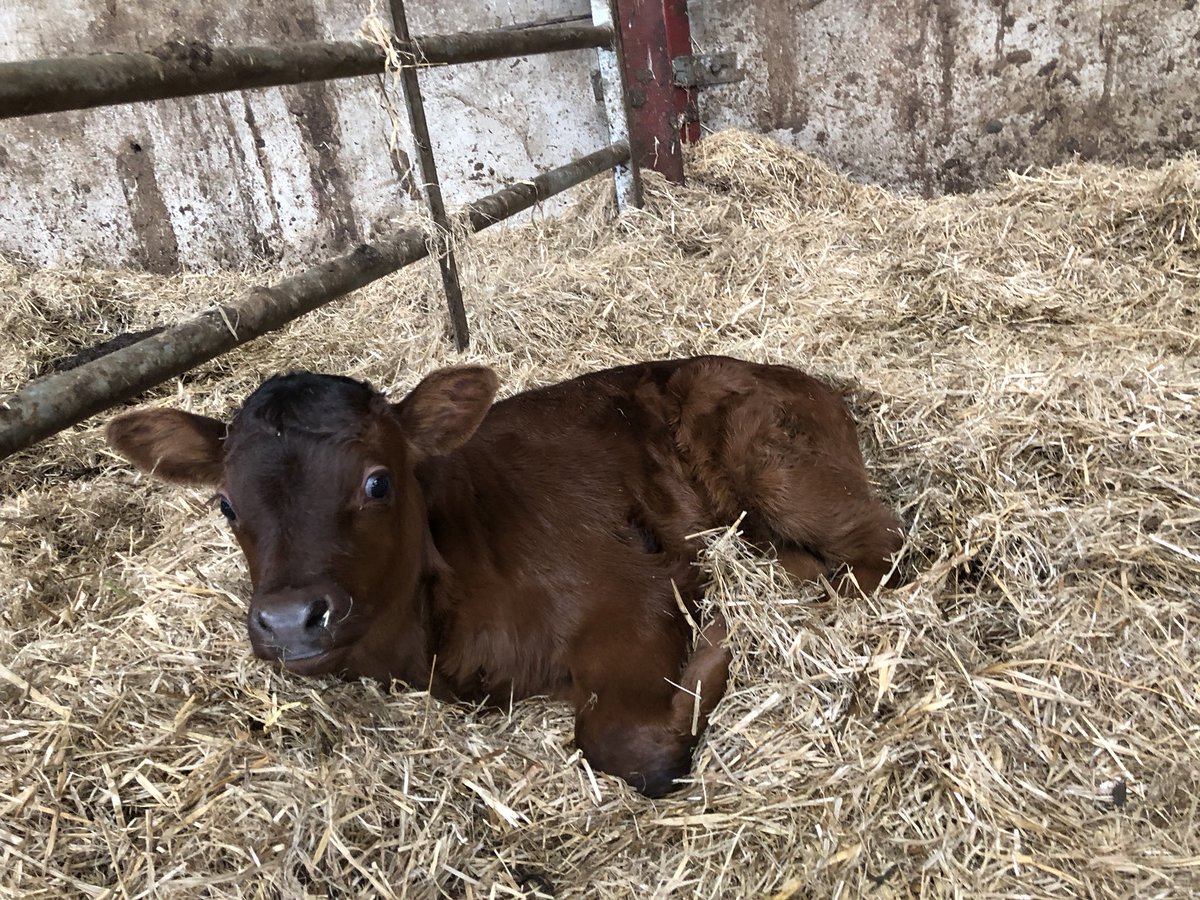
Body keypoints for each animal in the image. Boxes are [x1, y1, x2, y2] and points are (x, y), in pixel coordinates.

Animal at [106, 355, 902, 797]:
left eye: (377, 482)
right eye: (226, 503)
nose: (289, 619)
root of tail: (797, 376)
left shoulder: (632, 592)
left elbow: (625, 743)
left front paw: (717, 645)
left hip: (786, 469)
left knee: (879, 554)